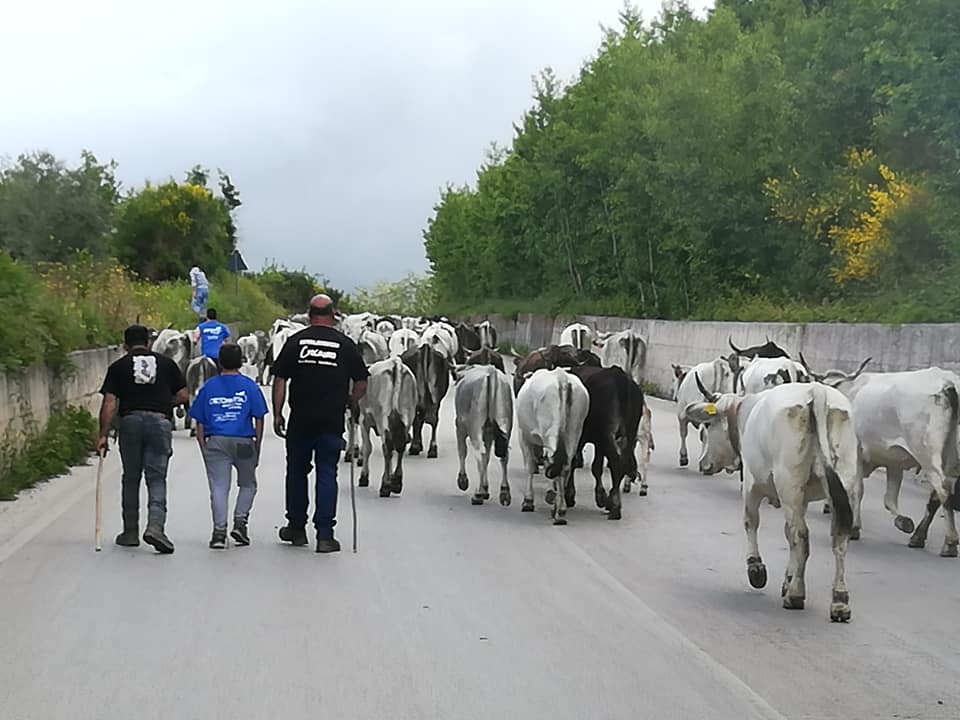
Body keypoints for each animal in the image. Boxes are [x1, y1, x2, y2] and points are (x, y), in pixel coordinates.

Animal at [356, 358, 416, 498]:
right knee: (399, 446)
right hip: (408, 416)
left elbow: (367, 448)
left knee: (387, 447)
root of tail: (395, 363)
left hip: (382, 417)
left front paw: (364, 477)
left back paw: (385, 486)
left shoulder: (363, 420)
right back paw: (397, 482)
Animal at [454, 366, 512, 506]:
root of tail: (491, 371)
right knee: (504, 457)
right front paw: (485, 488)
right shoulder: (488, 435)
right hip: (506, 424)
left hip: (475, 429)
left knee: (480, 454)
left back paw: (477, 495)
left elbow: (462, 451)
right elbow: (487, 459)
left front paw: (463, 480)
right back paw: (504, 492)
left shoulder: (460, 427)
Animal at [520, 368, 588, 524]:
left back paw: (558, 509)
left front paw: (528, 500)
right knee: (565, 466)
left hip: (550, 432)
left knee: (554, 461)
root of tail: (561, 377)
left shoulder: (524, 437)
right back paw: (560, 509)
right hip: (574, 432)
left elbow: (530, 467)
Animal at [684, 380, 864, 620]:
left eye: (706, 430)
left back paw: (796, 595)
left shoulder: (751, 484)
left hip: (789, 481)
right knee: (839, 537)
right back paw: (839, 601)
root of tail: (816, 391)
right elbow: (788, 535)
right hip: (844, 480)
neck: (744, 412)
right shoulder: (801, 499)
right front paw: (787, 579)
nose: (703, 464)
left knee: (802, 535)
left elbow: (751, 522)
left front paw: (757, 569)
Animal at [808, 360, 956, 556]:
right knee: (938, 496)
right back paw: (919, 537)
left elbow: (858, 489)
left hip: (928, 456)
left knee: (943, 490)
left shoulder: (857, 451)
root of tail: (948, 382)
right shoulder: (895, 461)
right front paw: (902, 521)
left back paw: (950, 541)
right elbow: (889, 499)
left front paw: (854, 527)